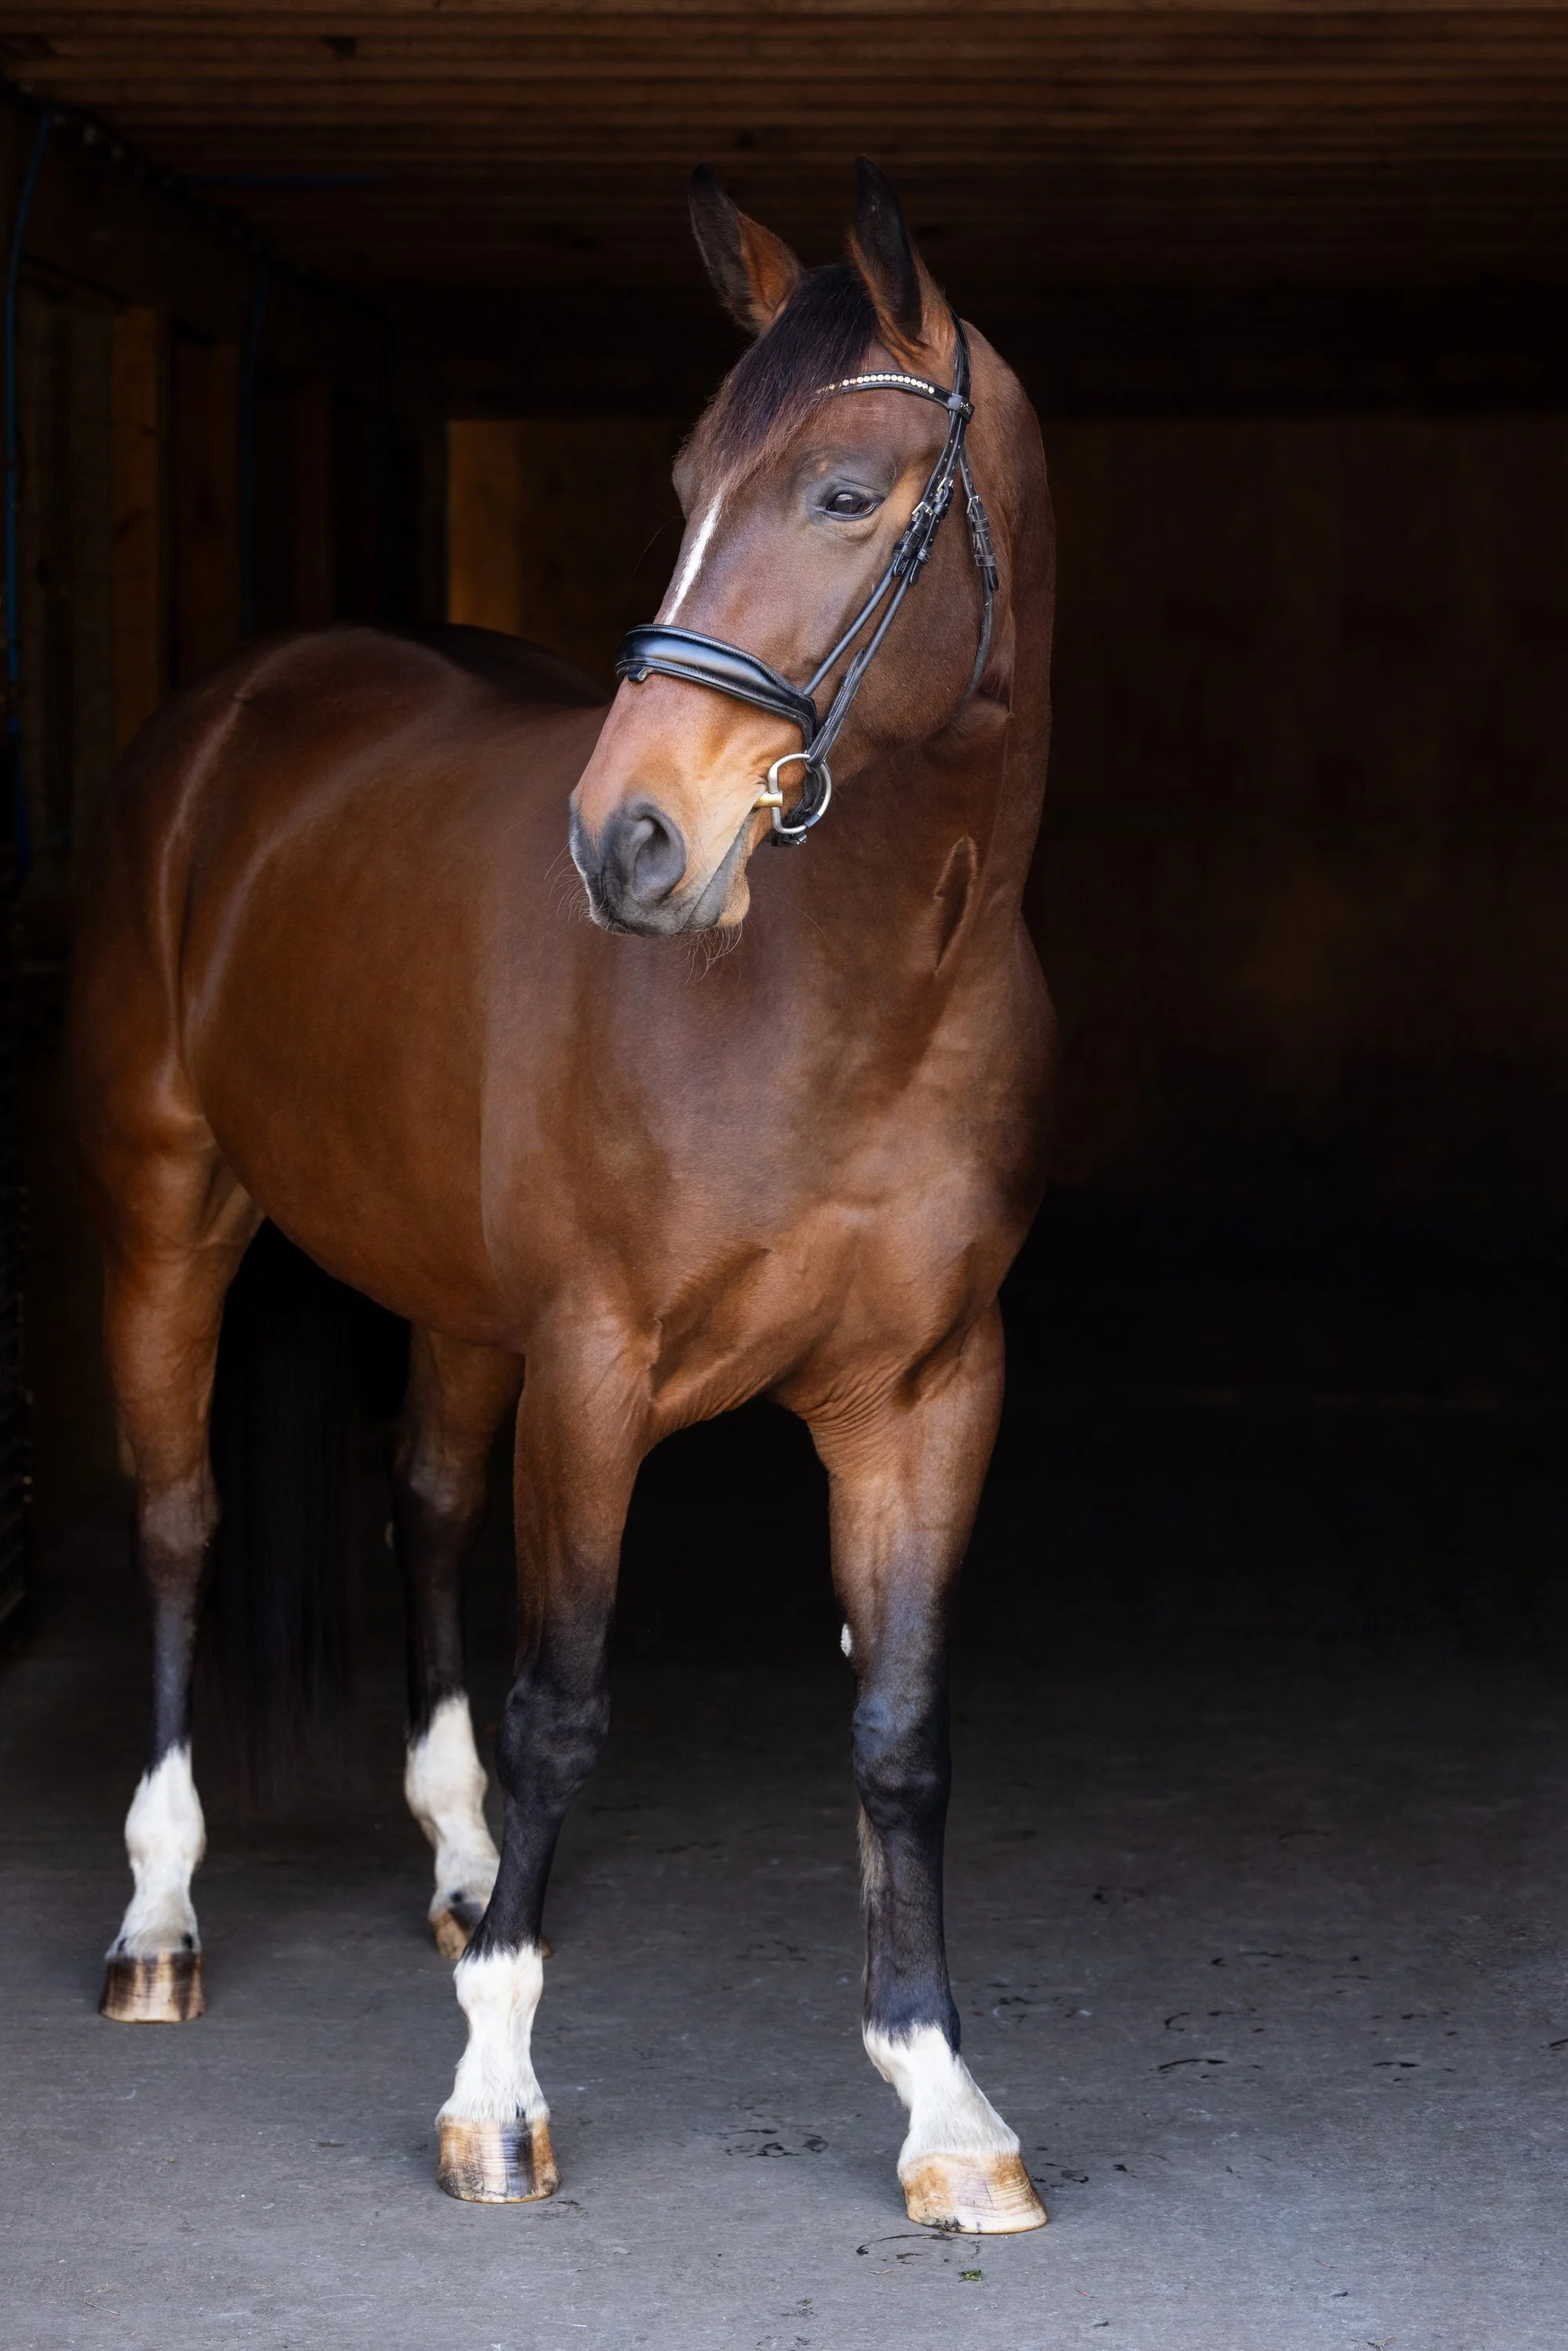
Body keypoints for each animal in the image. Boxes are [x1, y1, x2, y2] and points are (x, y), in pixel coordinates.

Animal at [68, 157, 1057, 2234]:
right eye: (686, 482)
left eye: (844, 494)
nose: (629, 841)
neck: (858, 995)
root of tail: (241, 705)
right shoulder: (599, 1372)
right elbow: (566, 1703)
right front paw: (495, 2097)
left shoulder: (929, 1392)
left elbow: (899, 1727)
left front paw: (941, 2101)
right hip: (168, 1216)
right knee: (183, 1527)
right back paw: (159, 1920)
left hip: (457, 1305)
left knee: (427, 1499)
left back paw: (457, 1866)